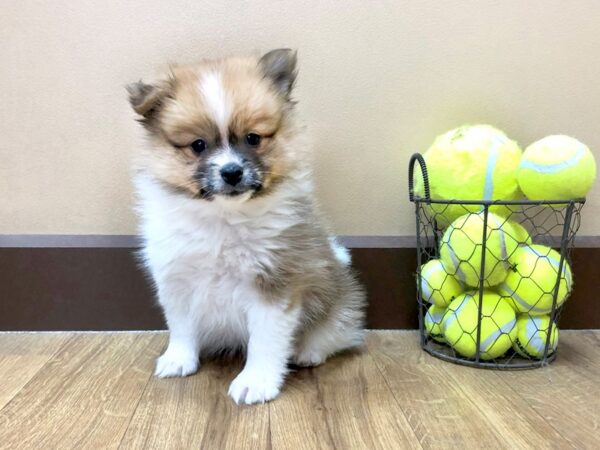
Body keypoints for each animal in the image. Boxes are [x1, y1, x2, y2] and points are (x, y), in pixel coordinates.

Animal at [126, 49, 366, 404]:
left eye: (253, 139)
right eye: (198, 145)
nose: (232, 172)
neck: (223, 218)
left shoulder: (274, 283)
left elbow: (264, 342)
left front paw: (256, 382)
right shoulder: (176, 279)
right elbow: (181, 326)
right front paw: (179, 359)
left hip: (337, 302)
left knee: (338, 333)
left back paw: (308, 352)